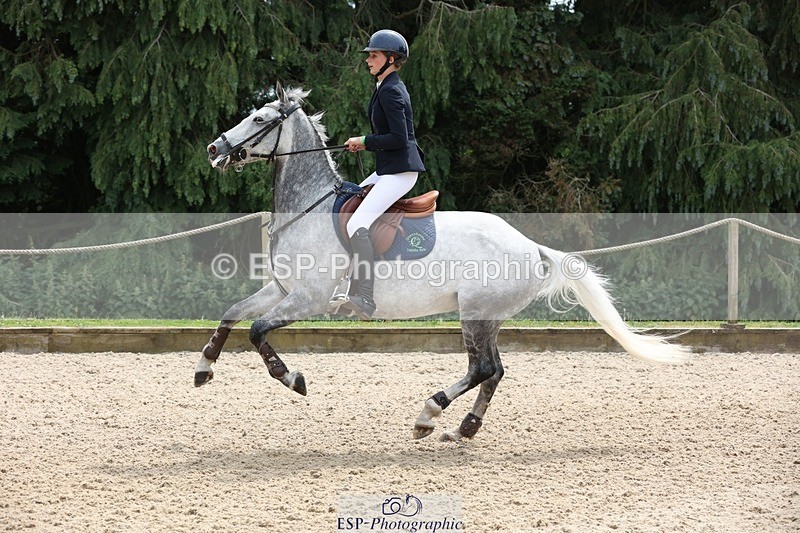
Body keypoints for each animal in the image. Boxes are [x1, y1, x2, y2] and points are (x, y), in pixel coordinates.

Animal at [196, 84, 689, 441]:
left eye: (260, 119)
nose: (213, 148)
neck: (308, 208)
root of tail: (531, 247)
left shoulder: (310, 298)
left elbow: (257, 331)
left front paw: (292, 378)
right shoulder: (283, 289)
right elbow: (232, 314)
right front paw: (204, 368)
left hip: (474, 312)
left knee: (482, 369)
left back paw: (429, 414)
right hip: (487, 316)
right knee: (494, 370)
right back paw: (464, 428)